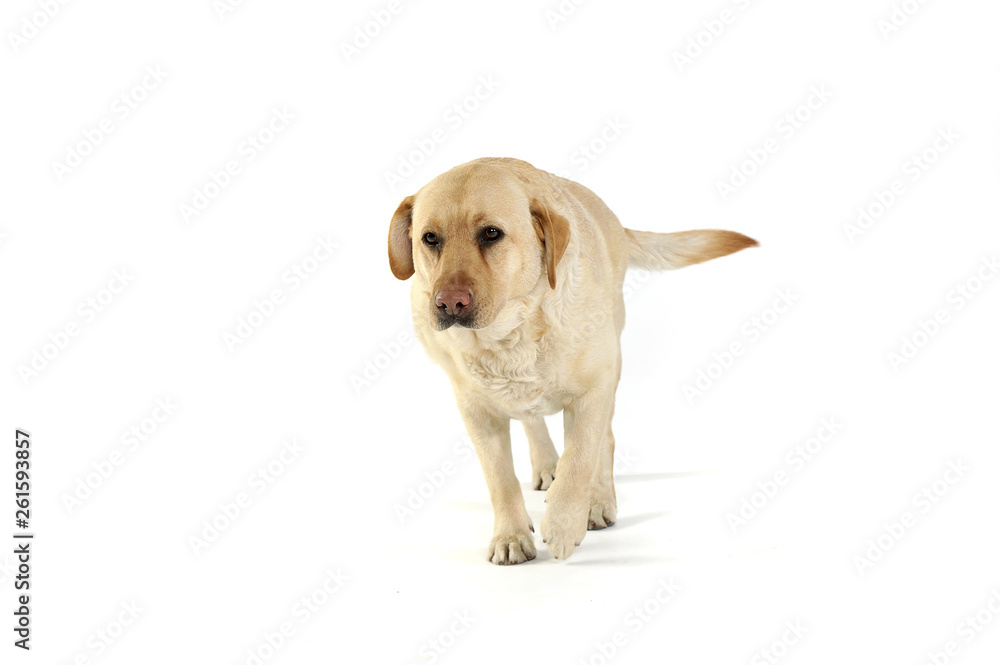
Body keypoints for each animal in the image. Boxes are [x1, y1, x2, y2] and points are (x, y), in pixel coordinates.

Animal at [386, 158, 752, 564]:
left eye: (492, 233)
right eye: (430, 238)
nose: (449, 302)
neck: (510, 339)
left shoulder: (594, 390)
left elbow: (580, 459)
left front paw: (564, 524)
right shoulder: (476, 411)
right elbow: (500, 478)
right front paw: (511, 535)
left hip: (612, 365)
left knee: (603, 441)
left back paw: (597, 500)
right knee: (532, 421)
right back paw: (548, 465)